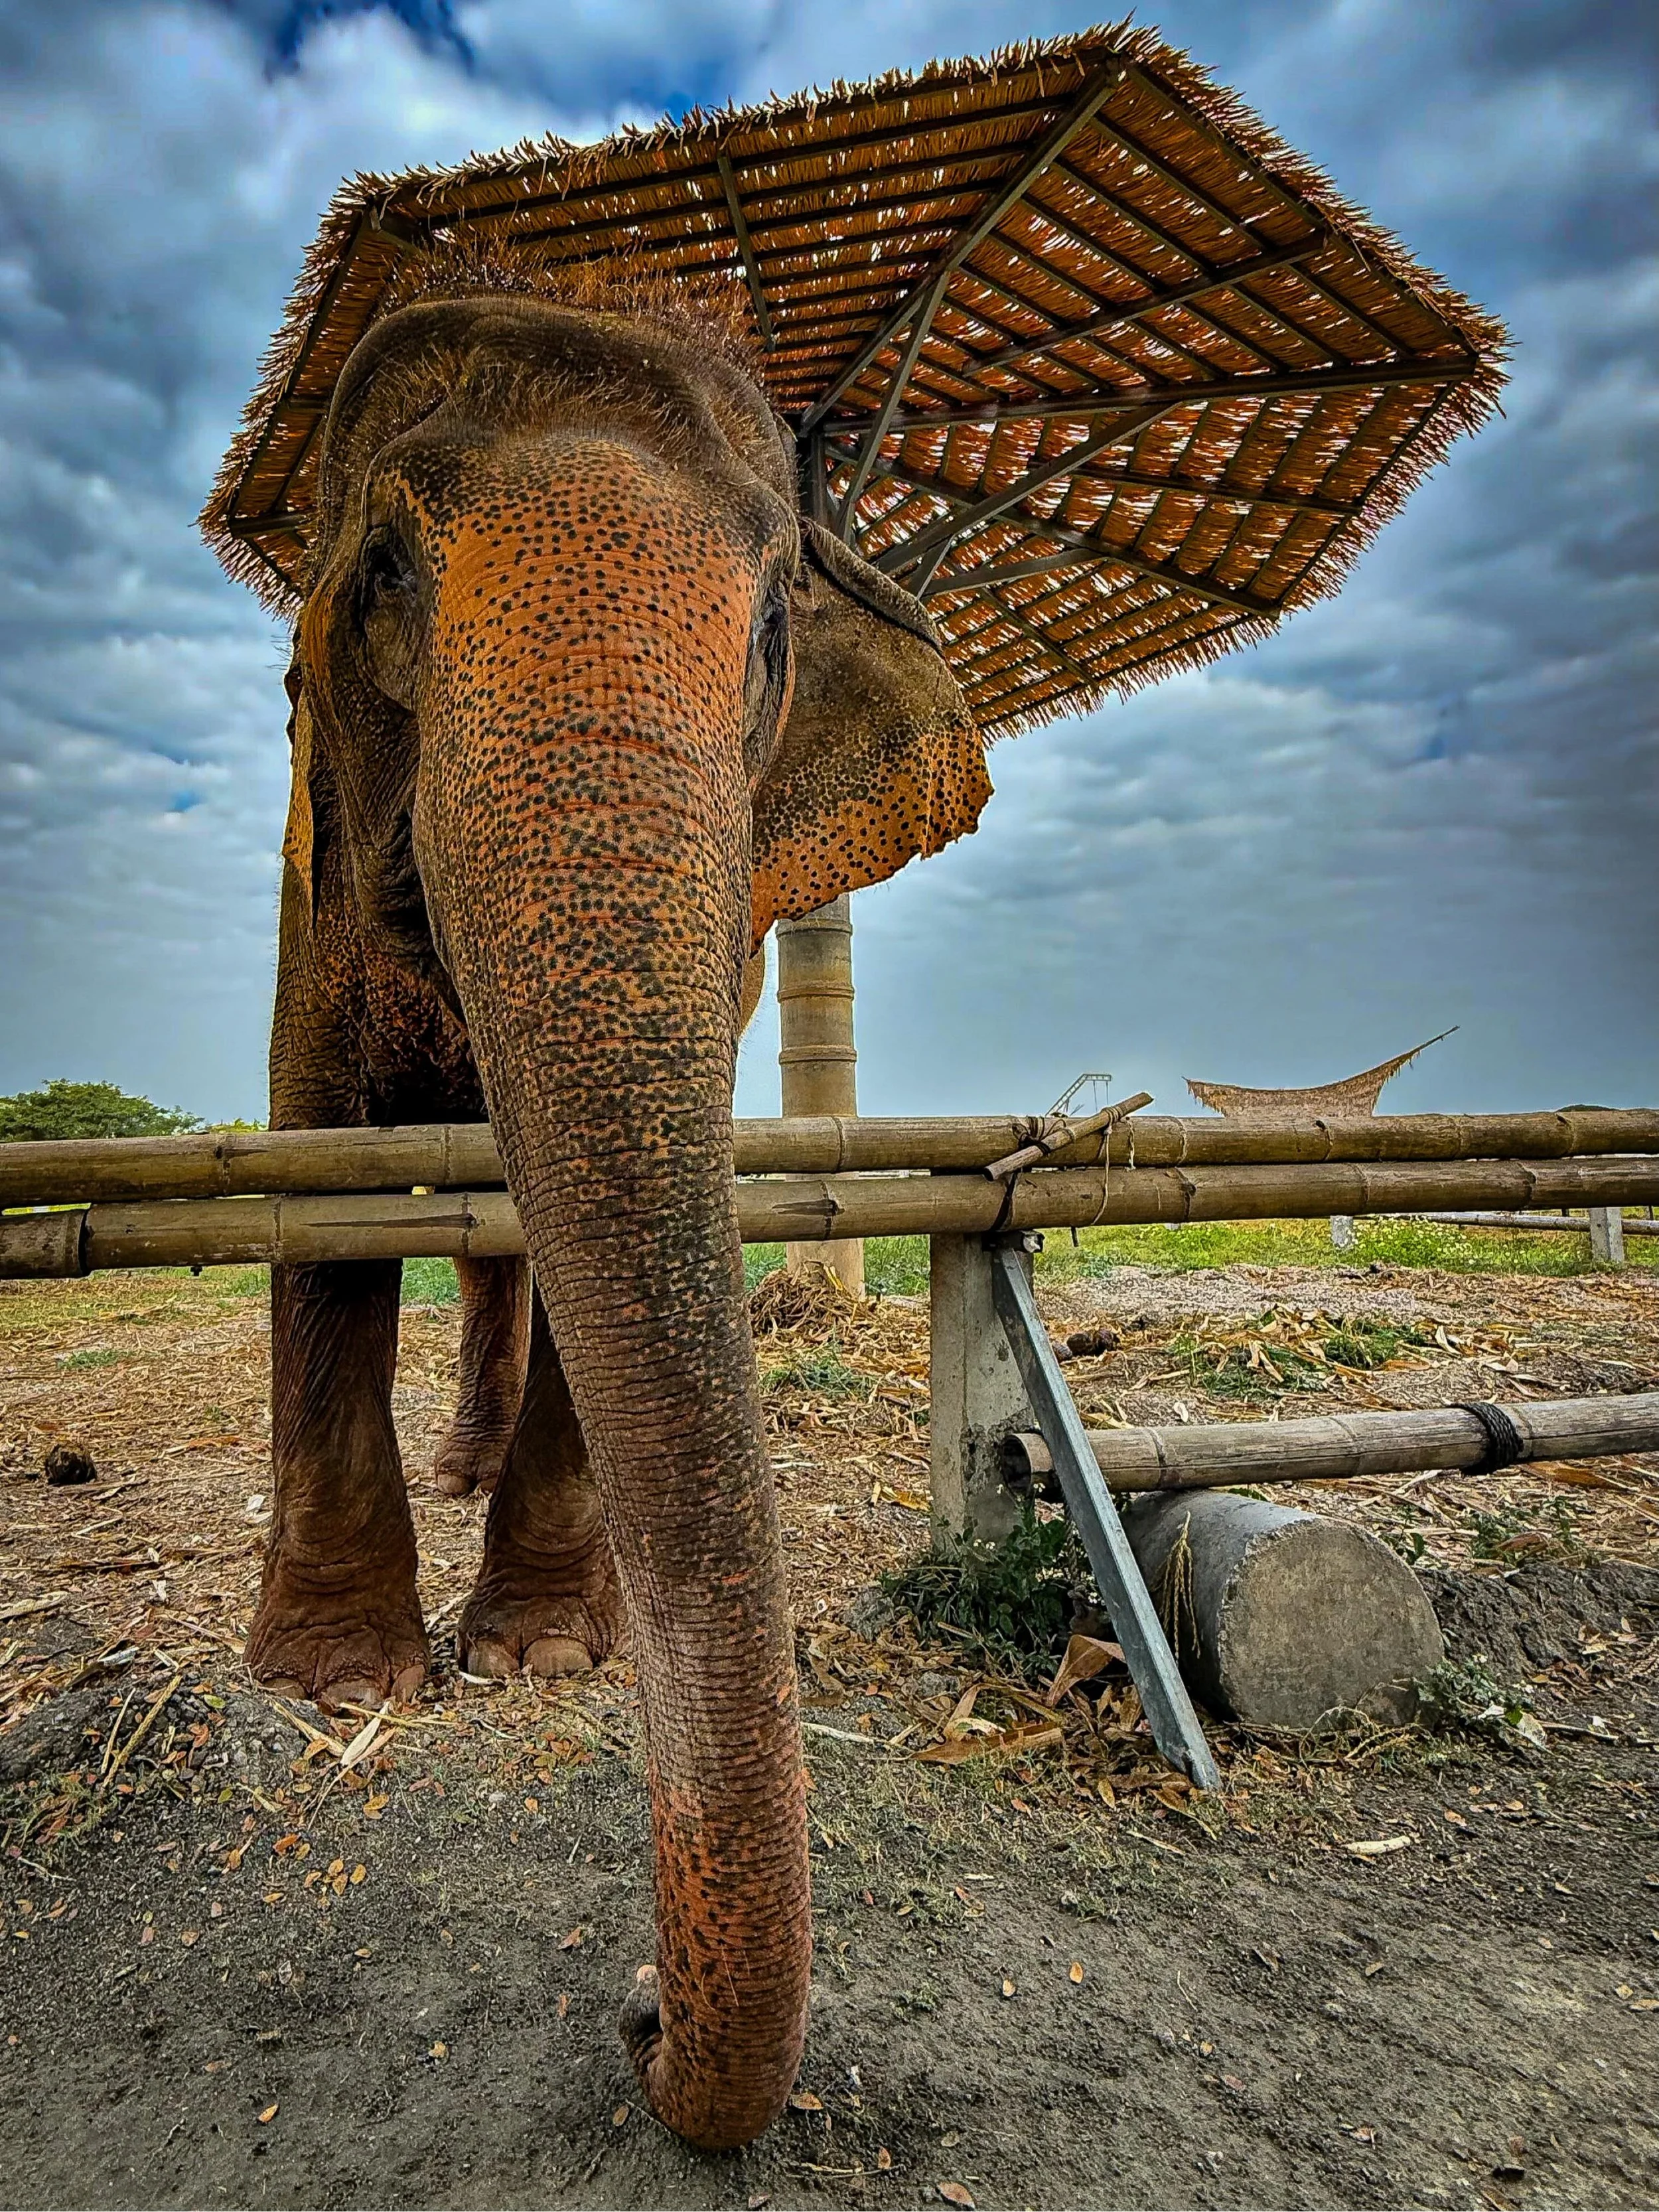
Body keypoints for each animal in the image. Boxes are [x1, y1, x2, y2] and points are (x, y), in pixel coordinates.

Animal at [237, 260, 990, 2150]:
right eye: (383, 570)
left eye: (777, 631)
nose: (640, 2004)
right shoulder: (307, 863)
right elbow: (314, 1171)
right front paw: (340, 1688)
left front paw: (533, 1667)